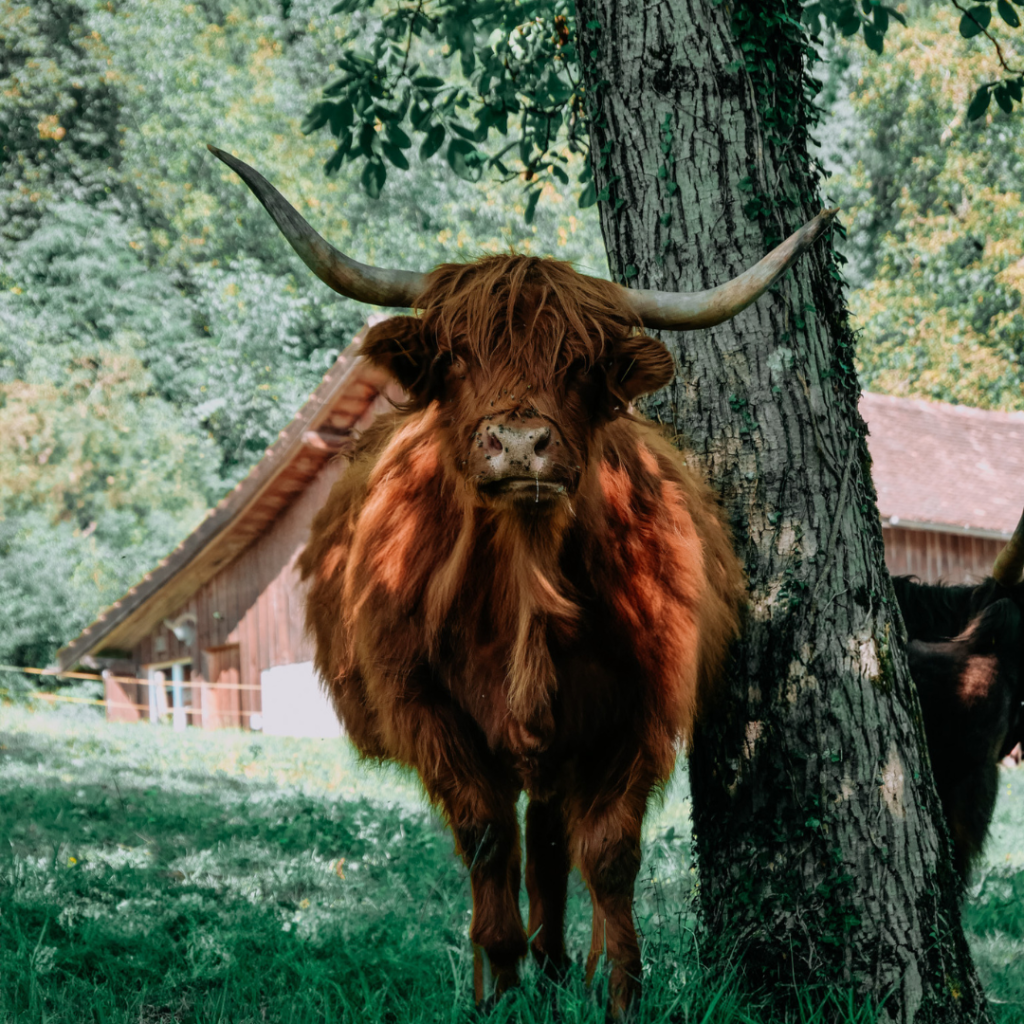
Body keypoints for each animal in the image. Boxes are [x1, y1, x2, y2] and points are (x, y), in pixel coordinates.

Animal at [208, 145, 833, 1016]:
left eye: (580, 363)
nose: (518, 445)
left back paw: (561, 966)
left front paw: (617, 993)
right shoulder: (429, 711)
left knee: (550, 841)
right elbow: (485, 841)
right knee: (521, 841)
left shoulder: (635, 712)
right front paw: (497, 991)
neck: (526, 582)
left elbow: (607, 852)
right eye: (457, 356)